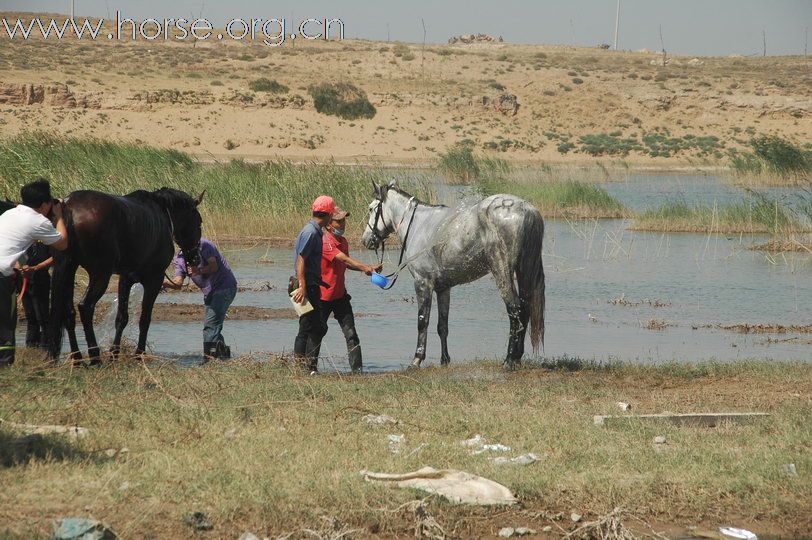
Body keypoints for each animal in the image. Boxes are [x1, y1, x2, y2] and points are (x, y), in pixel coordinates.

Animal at [47, 188, 203, 360]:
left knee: (68, 312)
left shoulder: (126, 279)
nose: (195, 258)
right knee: (85, 307)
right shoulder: (154, 280)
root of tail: (69, 206)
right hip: (100, 274)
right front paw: (139, 354)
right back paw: (94, 356)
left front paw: (114, 353)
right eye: (199, 222)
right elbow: (145, 319)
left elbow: (122, 318)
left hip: (69, 269)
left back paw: (78, 358)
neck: (163, 213)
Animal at [364, 184, 544, 370]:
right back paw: (517, 357)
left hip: (502, 272)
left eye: (371, 208)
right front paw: (445, 360)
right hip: (522, 271)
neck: (419, 225)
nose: (367, 240)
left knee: (515, 310)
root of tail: (525, 208)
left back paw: (509, 360)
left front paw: (416, 360)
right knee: (525, 309)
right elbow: (442, 326)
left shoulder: (422, 283)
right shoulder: (443, 289)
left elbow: (422, 322)